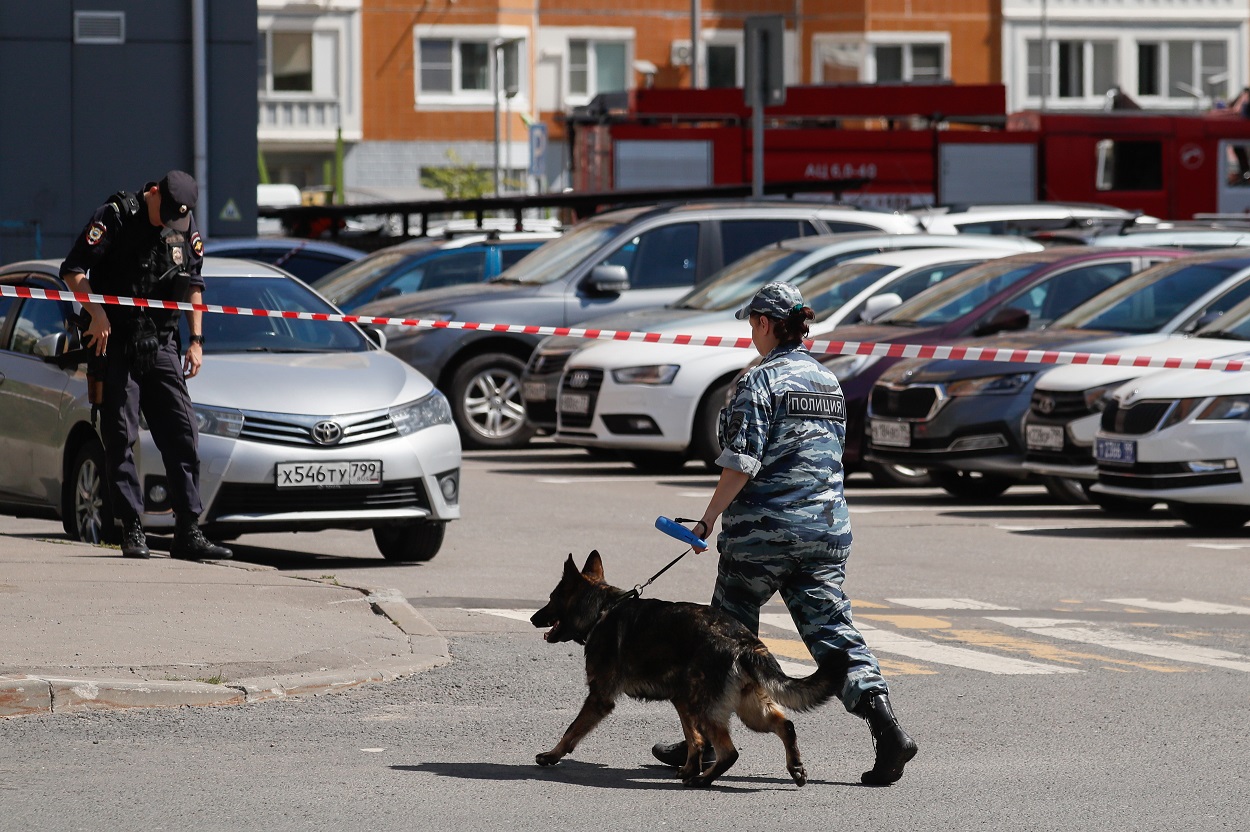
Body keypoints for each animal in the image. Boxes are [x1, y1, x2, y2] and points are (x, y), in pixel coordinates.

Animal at [527, 549, 850, 784]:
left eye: (551, 599)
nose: (532, 618)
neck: (601, 610)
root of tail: (744, 641)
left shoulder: (599, 698)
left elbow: (571, 730)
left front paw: (552, 755)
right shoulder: (681, 701)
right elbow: (694, 739)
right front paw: (688, 766)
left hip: (707, 707)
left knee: (730, 752)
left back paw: (703, 780)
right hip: (747, 709)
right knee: (786, 725)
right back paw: (794, 767)